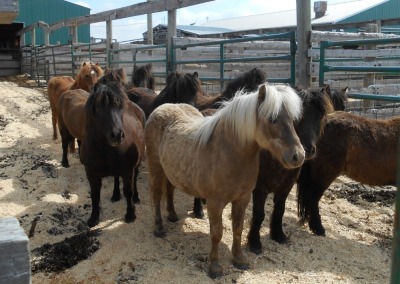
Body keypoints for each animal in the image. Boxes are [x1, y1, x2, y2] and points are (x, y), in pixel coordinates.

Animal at [145, 83, 304, 278]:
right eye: (272, 119)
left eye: (292, 119)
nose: (298, 156)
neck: (228, 153)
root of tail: (163, 107)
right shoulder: (215, 202)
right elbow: (216, 233)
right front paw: (214, 267)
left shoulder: (242, 199)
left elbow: (238, 228)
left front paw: (239, 259)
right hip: (155, 167)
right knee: (156, 196)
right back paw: (159, 228)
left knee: (170, 189)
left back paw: (173, 215)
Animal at [245, 86, 336, 253]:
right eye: (297, 117)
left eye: (320, 116)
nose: (307, 150)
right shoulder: (260, 188)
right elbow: (259, 214)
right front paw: (254, 243)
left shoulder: (285, 187)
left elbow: (280, 210)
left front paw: (278, 235)